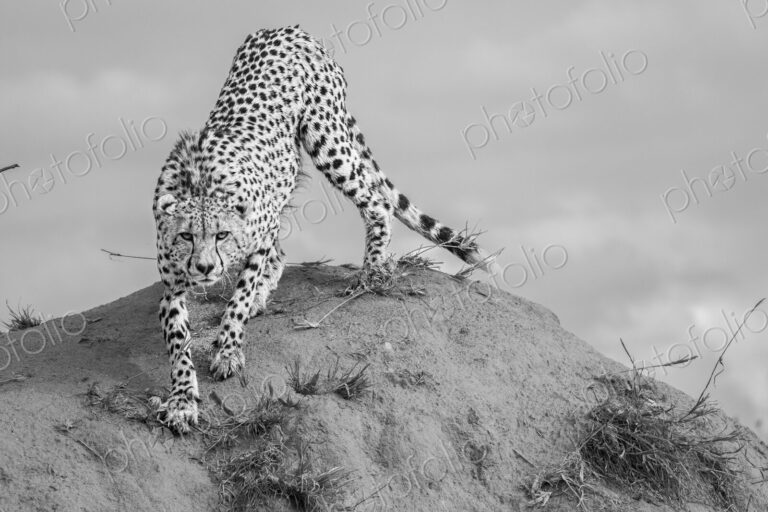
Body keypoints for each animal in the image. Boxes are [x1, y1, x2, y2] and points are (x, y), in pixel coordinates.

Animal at [152, 25, 492, 433]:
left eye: (222, 235)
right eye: (186, 236)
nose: (205, 268)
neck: (199, 183)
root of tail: (288, 28)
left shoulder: (256, 235)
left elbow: (239, 296)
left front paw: (230, 349)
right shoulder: (172, 286)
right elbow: (178, 343)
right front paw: (182, 400)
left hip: (325, 138)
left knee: (376, 200)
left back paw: (371, 272)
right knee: (285, 250)